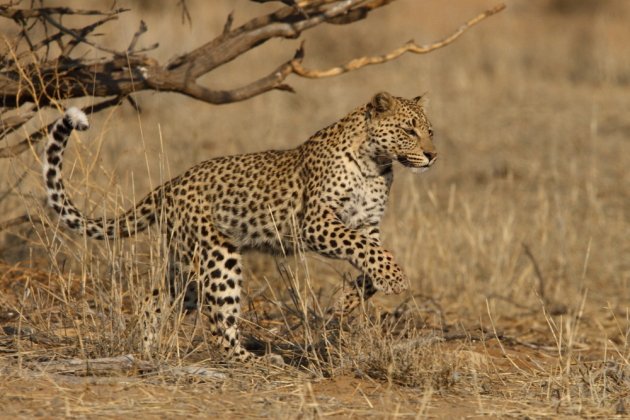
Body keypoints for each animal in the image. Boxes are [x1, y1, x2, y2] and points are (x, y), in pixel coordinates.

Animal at [44, 91, 436, 360]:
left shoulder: (368, 224)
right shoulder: (316, 222)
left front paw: (346, 300)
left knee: (154, 297)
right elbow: (367, 250)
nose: (433, 155)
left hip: (186, 264)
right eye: (409, 130)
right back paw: (256, 361)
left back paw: (146, 349)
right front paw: (393, 280)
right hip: (218, 256)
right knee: (218, 323)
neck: (376, 164)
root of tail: (173, 183)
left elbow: (370, 258)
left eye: (430, 131)